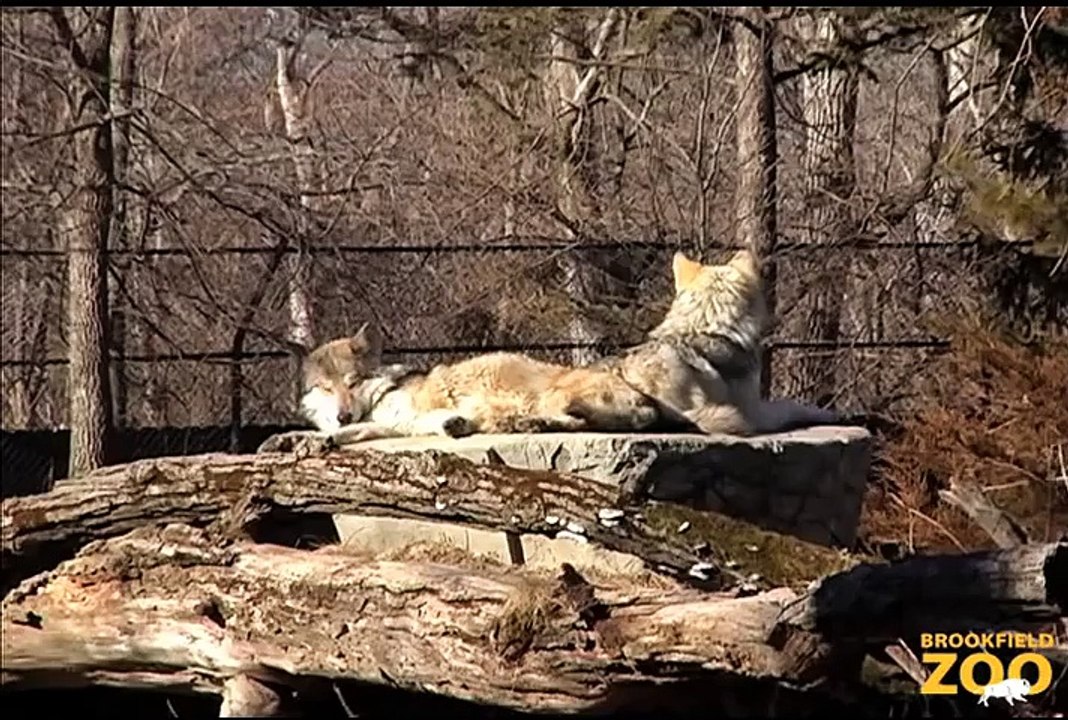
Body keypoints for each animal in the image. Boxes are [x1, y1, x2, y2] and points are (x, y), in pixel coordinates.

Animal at [260, 320, 700, 451]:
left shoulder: (406, 417)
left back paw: (522, 424)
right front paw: (294, 441)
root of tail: (647, 402)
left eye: (352, 383)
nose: (342, 412)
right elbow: (342, 434)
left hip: (555, 395)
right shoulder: (392, 425)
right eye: (325, 388)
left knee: (571, 422)